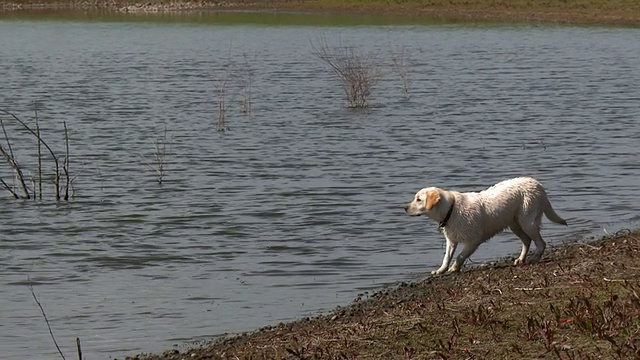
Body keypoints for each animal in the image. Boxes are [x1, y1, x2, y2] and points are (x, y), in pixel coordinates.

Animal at [404, 176, 564, 274]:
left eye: (418, 199)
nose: (404, 208)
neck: (451, 209)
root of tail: (538, 184)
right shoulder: (451, 240)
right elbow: (446, 257)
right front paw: (440, 270)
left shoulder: (473, 240)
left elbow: (460, 256)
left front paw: (454, 268)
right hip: (515, 224)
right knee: (527, 240)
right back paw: (521, 259)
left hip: (527, 221)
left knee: (540, 243)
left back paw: (534, 258)